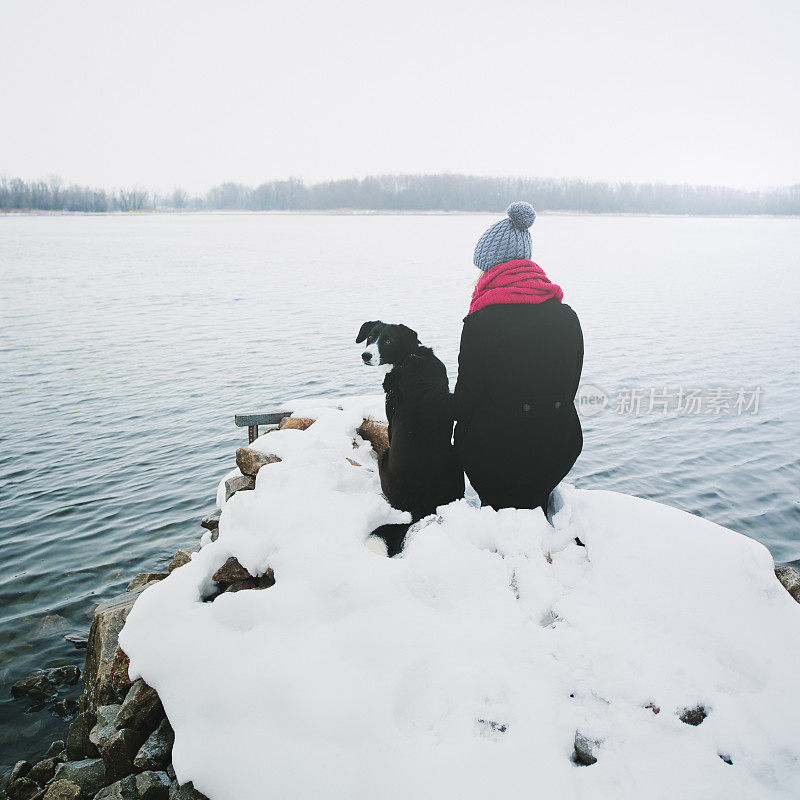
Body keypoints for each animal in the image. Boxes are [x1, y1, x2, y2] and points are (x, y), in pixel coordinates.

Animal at [354, 318, 462, 556]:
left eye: (387, 340)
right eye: (371, 336)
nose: (366, 355)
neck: (410, 356)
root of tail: (421, 508)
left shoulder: (390, 425)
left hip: (384, 456)